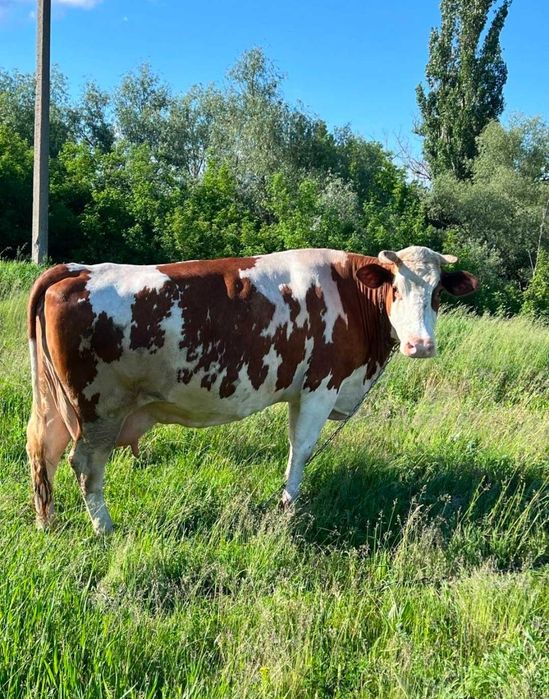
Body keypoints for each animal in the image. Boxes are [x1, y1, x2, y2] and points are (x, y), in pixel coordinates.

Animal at [26, 246, 477, 534]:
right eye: (395, 288)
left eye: (437, 293)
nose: (421, 345)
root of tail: (76, 269)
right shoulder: (320, 386)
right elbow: (301, 449)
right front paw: (288, 507)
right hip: (98, 409)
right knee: (85, 465)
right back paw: (104, 529)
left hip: (55, 404)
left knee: (42, 450)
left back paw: (48, 522)